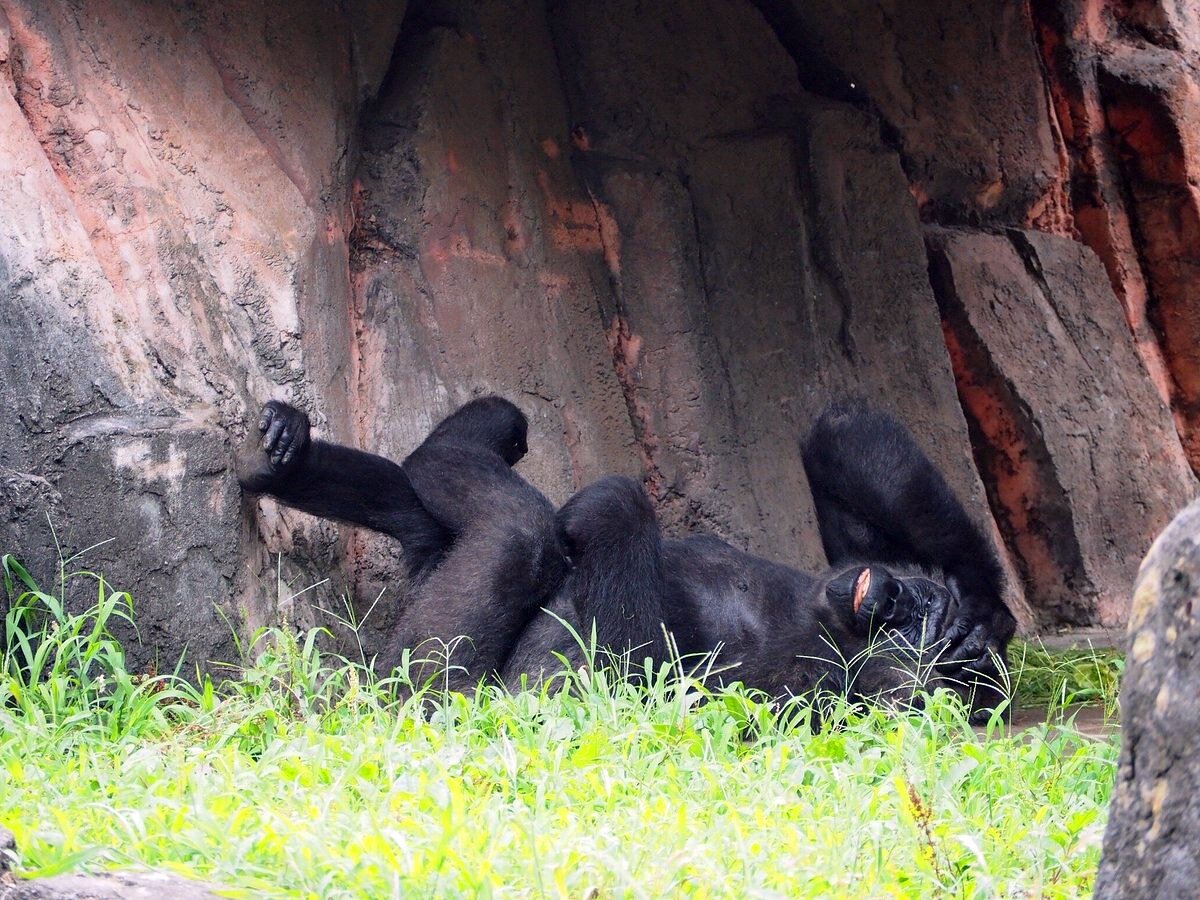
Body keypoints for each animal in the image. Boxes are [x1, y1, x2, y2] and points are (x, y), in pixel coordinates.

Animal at [238, 398, 1017, 724]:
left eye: (911, 629)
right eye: (921, 611)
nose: (895, 600)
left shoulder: (821, 689)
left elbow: (621, 677)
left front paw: (610, 510)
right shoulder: (850, 566)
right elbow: (843, 432)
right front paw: (985, 614)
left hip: (426, 692)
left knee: (515, 538)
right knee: (428, 506)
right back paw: (290, 455)